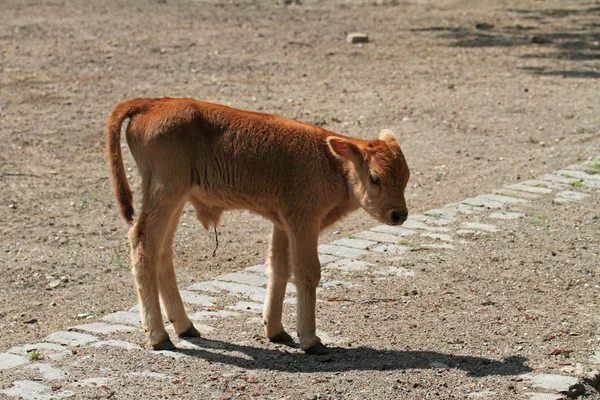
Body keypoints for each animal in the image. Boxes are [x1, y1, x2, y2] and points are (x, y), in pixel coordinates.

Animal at [105, 98, 410, 354]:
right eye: (375, 178)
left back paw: (185, 326)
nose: (400, 214)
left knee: (162, 250)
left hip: (175, 199)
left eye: (406, 176)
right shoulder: (304, 222)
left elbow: (279, 268)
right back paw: (159, 337)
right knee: (143, 242)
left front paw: (276, 331)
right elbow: (307, 273)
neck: (331, 163)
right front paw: (311, 340)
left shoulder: (283, 224)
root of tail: (153, 103)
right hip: (165, 192)